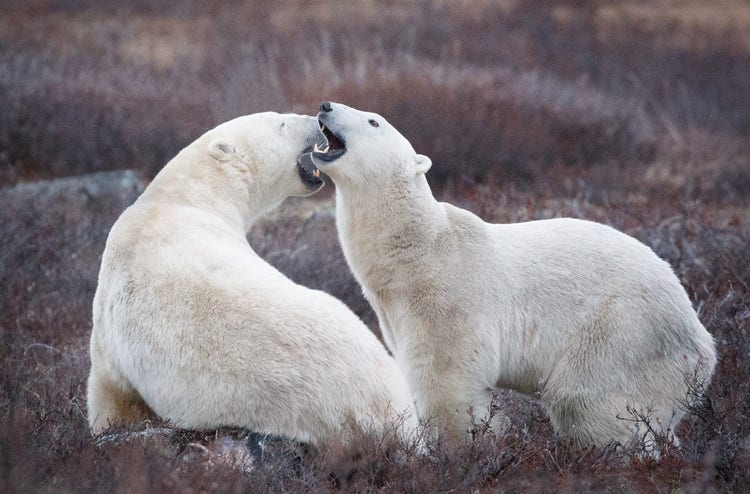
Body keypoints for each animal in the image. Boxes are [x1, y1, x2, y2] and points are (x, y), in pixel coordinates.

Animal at [308, 101, 720, 452]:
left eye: (373, 121)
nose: (325, 106)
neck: (420, 248)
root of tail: (702, 339)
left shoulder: (448, 297)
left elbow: (450, 381)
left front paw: (457, 451)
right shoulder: (395, 314)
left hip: (625, 332)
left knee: (586, 402)